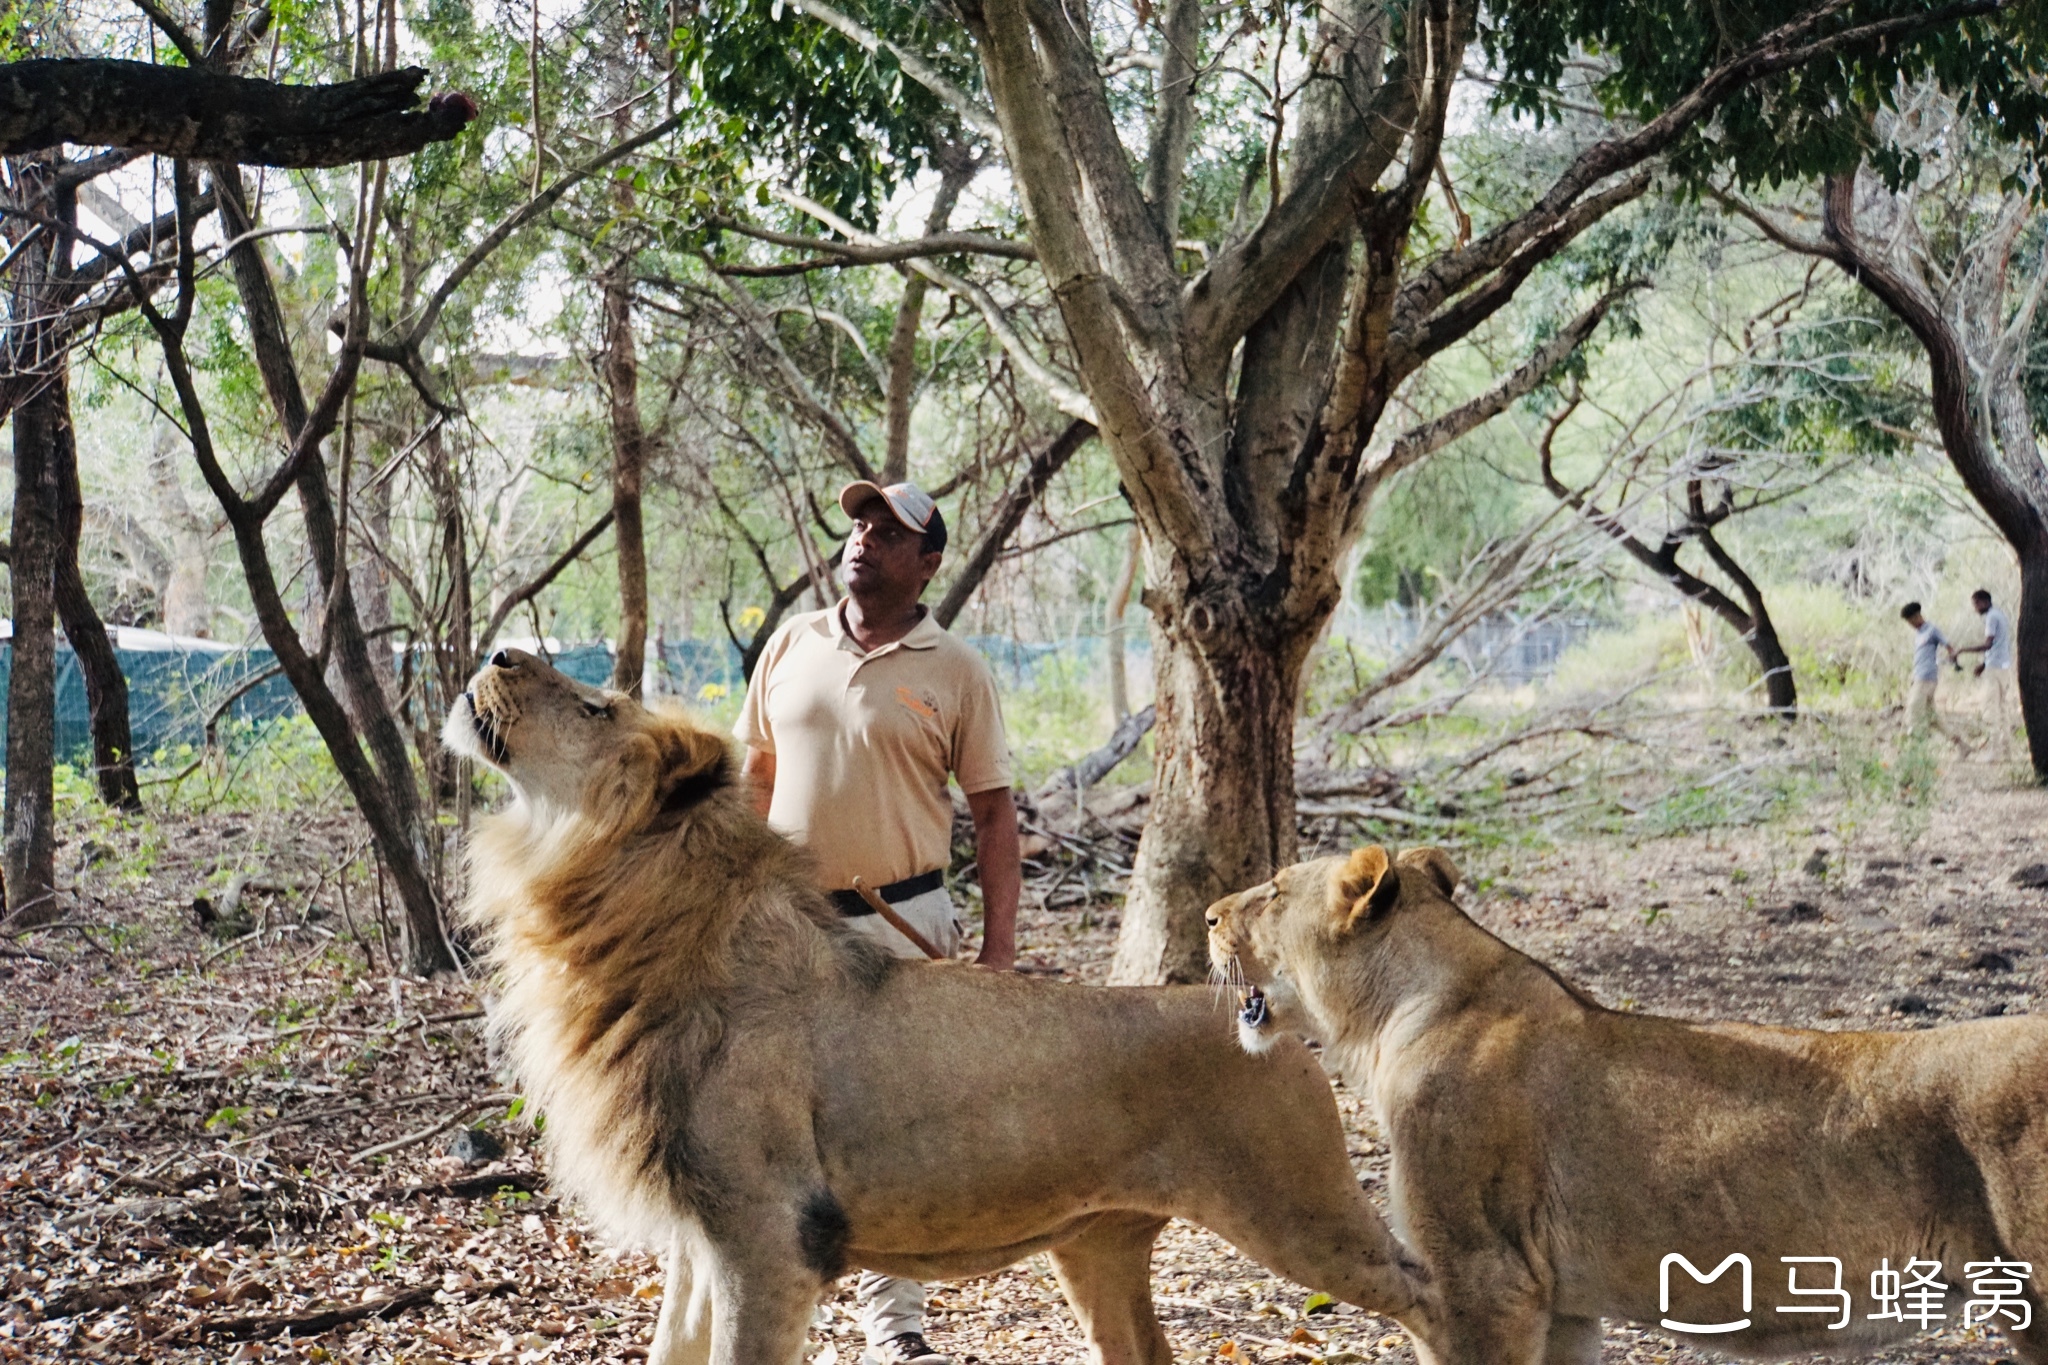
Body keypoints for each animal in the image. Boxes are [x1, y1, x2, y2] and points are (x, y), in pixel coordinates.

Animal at [440, 654, 1433, 1365]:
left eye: (596, 709)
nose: (497, 651)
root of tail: (1273, 1019)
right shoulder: (699, 1241)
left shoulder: (767, 1239)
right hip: (1100, 1246)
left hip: (1300, 1211)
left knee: (1431, 1290)